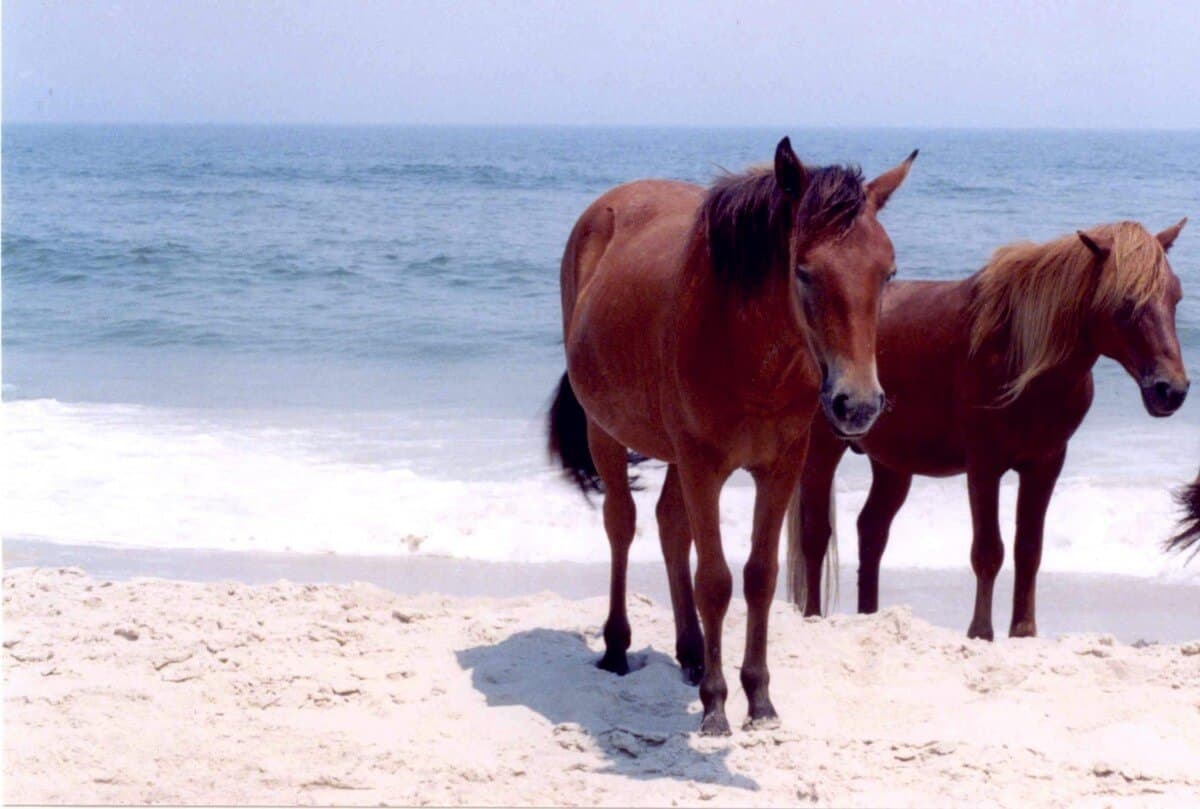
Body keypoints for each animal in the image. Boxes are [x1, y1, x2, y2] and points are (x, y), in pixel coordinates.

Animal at [547, 137, 917, 734]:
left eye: (887, 272)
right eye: (804, 272)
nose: (858, 404)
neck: (747, 349)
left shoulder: (780, 466)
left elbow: (760, 576)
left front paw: (759, 698)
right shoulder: (704, 466)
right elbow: (716, 580)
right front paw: (717, 705)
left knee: (669, 525)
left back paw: (692, 653)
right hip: (606, 432)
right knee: (622, 525)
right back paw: (618, 648)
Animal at [786, 218, 1189, 640]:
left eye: (1175, 296)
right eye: (1126, 302)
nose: (1171, 390)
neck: (1021, 352)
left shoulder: (1045, 464)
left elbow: (1029, 549)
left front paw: (1023, 630)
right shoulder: (984, 465)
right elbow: (988, 551)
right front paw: (980, 630)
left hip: (893, 465)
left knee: (872, 531)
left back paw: (870, 616)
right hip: (822, 452)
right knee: (816, 536)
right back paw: (813, 615)